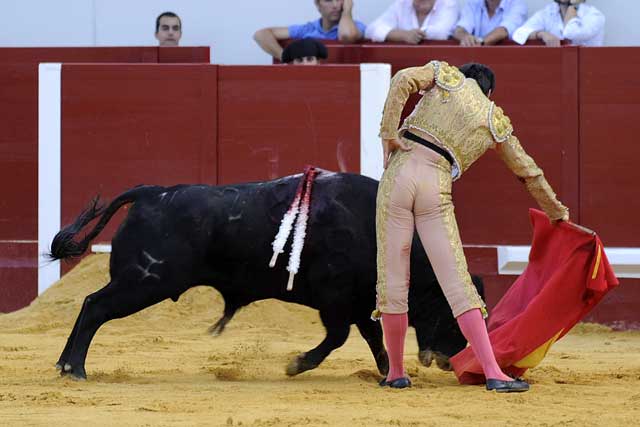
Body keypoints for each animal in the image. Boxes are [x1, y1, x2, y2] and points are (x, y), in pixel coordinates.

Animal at [50, 171, 482, 382]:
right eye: (450, 313)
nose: (452, 360)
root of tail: (151, 193)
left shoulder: (356, 301)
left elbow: (373, 336)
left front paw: (385, 372)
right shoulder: (336, 299)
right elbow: (340, 337)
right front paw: (297, 364)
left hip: (142, 282)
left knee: (89, 305)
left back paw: (64, 365)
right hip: (145, 281)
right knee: (95, 307)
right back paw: (76, 369)